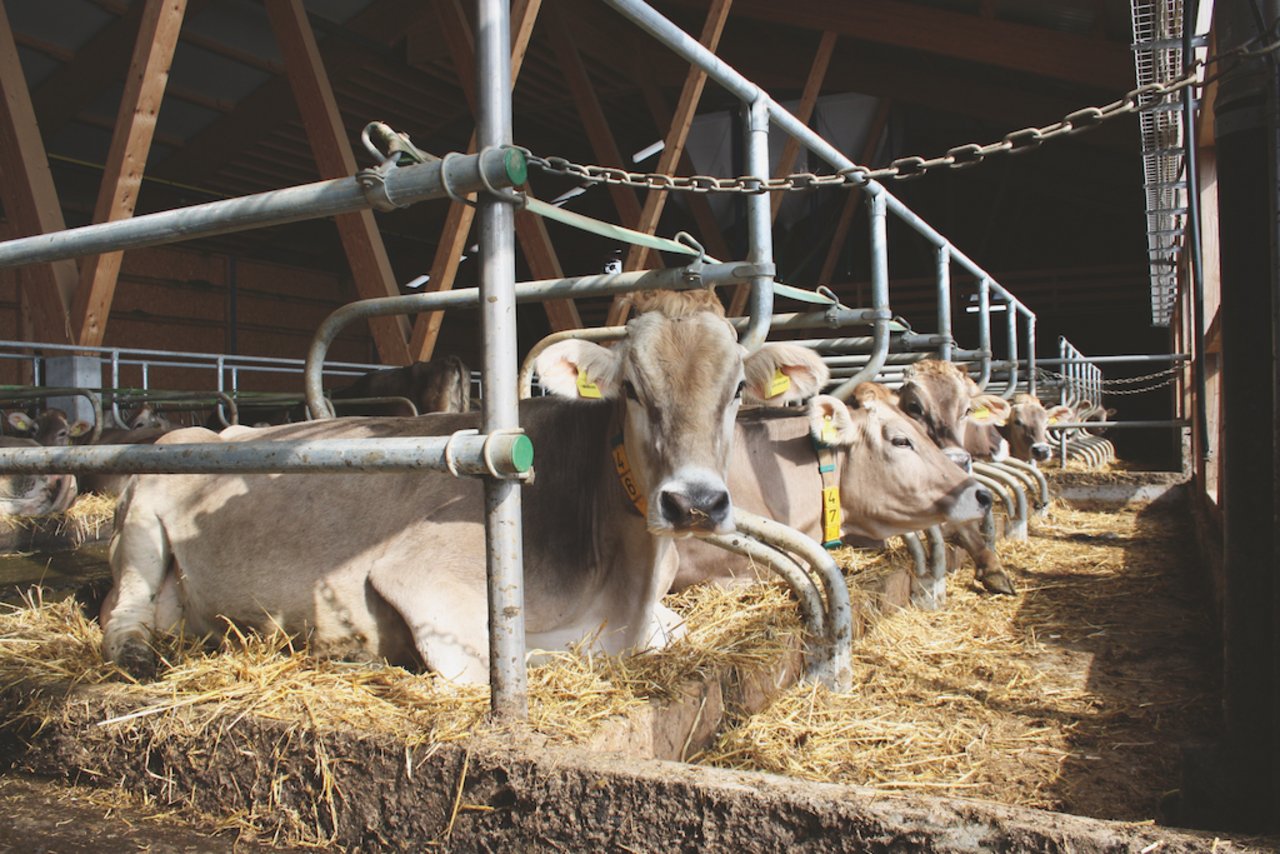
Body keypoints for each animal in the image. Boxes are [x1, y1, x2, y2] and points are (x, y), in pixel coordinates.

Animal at [97, 290, 819, 686]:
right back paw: (136, 653)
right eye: (634, 391)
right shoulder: (424, 578)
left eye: (737, 389)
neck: (625, 582)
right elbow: (537, 659)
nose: (695, 503)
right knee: (120, 609)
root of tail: (219, 428)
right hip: (141, 526)